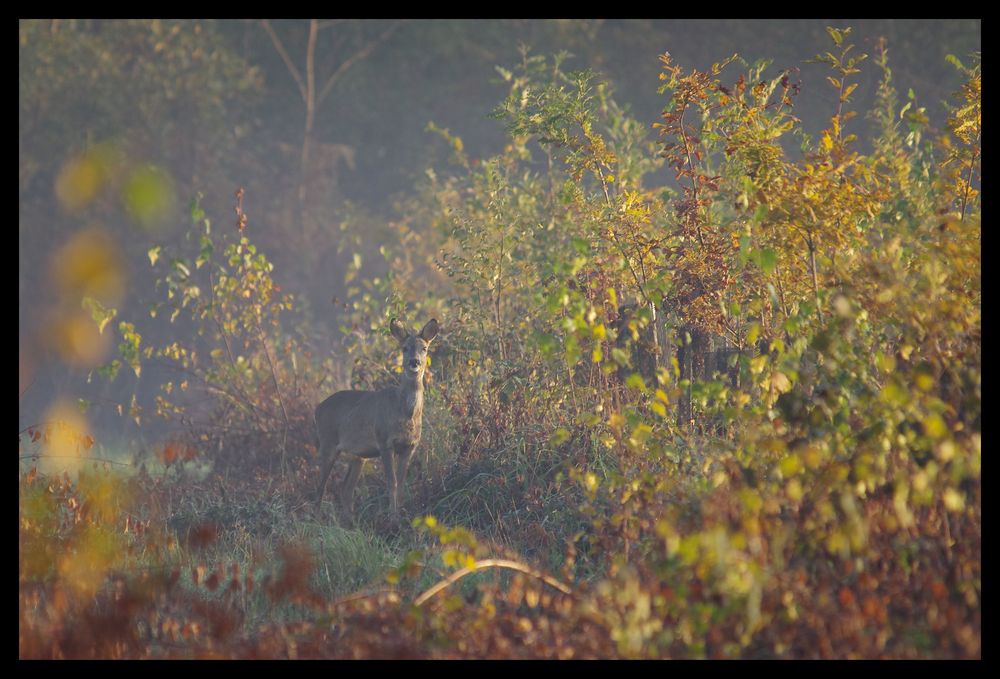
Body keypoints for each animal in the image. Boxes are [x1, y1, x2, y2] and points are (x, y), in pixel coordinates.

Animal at [312, 318, 438, 520]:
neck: (406, 414)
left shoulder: (410, 446)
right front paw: (393, 518)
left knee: (345, 489)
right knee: (320, 488)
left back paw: (350, 522)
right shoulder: (384, 441)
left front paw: (400, 514)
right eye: (404, 348)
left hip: (358, 455)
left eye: (424, 348)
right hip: (327, 442)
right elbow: (392, 483)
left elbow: (401, 485)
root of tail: (317, 409)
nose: (414, 362)